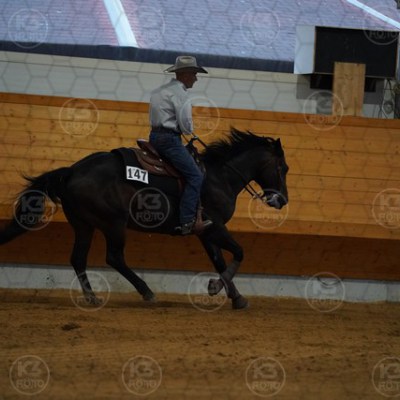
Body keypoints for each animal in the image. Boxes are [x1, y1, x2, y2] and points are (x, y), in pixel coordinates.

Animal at [0, 128, 289, 309]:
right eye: (282, 168)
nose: (282, 200)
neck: (220, 177)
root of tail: (71, 171)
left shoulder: (205, 231)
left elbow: (219, 261)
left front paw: (236, 297)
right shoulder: (215, 227)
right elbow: (239, 253)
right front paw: (216, 287)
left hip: (84, 225)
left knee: (78, 259)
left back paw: (92, 297)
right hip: (113, 224)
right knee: (114, 257)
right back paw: (146, 291)